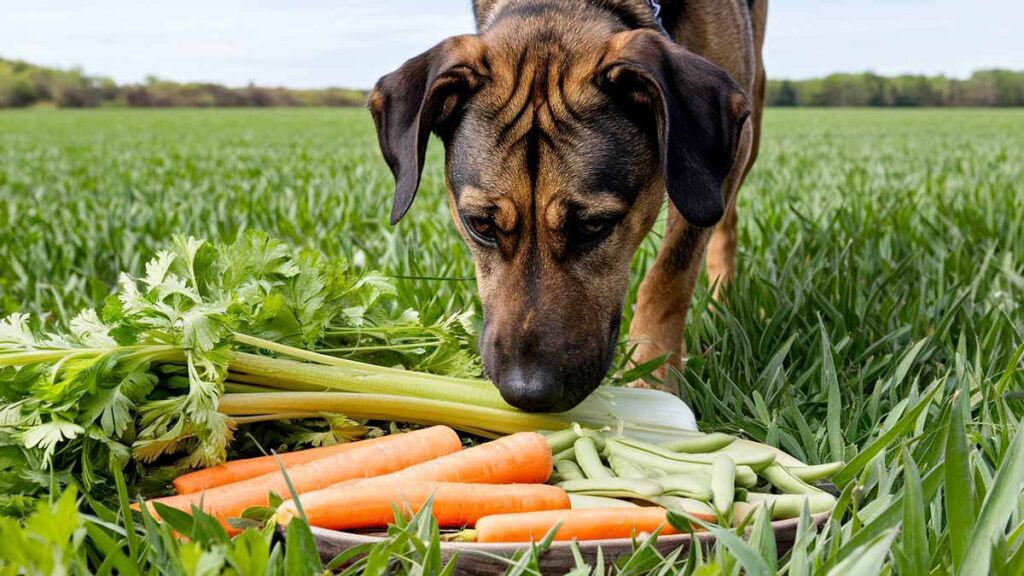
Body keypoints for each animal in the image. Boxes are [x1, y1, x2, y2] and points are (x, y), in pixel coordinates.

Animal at [366, 0, 761, 412]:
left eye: (593, 226)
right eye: (480, 225)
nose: (527, 393)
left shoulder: (715, 157)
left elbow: (670, 273)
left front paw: (651, 374)